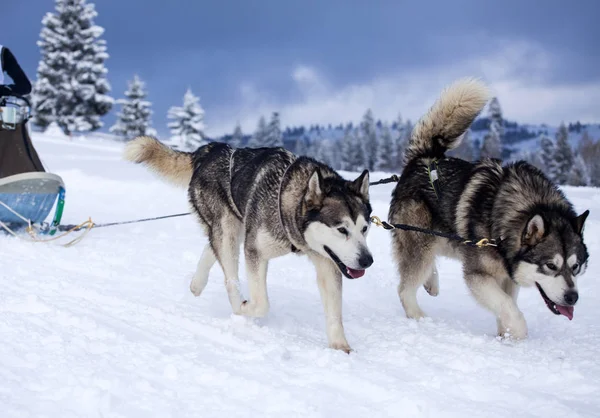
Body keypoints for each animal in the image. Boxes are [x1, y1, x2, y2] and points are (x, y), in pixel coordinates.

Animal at [124, 139, 372, 352]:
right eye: (342, 229)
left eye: (365, 228)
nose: (367, 260)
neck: (287, 200)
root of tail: (211, 149)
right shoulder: (256, 251)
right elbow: (261, 303)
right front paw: (245, 308)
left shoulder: (328, 262)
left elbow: (335, 312)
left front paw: (341, 347)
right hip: (228, 228)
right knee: (229, 276)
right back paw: (234, 304)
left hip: (239, 226)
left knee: (212, 247)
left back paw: (197, 284)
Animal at [390, 79, 592, 340]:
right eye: (550, 266)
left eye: (575, 267)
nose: (572, 297)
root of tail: (423, 158)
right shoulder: (478, 275)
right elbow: (509, 307)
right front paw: (517, 333)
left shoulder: (508, 276)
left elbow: (507, 304)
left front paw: (505, 336)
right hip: (420, 240)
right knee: (406, 287)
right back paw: (419, 317)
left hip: (443, 238)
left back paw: (431, 282)